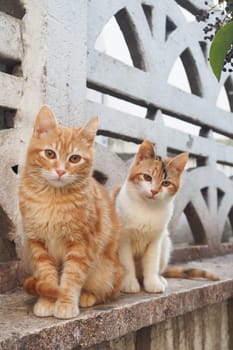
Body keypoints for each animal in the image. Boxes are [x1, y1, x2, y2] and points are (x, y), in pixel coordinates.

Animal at [18, 105, 124, 318]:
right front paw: (48, 299)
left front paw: (65, 302)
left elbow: (72, 277)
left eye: (75, 158)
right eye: (50, 154)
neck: (52, 199)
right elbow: (46, 274)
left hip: (105, 271)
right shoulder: (37, 243)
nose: (60, 171)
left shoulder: (82, 244)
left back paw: (88, 296)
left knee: (109, 291)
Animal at [114, 139, 218, 292]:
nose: (154, 191)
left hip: (165, 242)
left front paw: (152, 282)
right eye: (147, 177)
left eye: (166, 183)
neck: (147, 208)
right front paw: (129, 283)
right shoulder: (123, 239)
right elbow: (127, 262)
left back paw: (159, 278)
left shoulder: (156, 240)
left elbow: (152, 262)